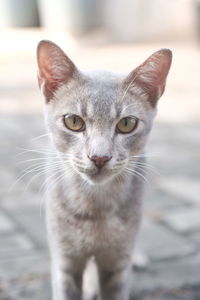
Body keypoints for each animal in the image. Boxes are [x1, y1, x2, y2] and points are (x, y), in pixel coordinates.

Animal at [36, 41, 172, 300]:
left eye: (127, 124)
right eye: (73, 121)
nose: (99, 157)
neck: (95, 208)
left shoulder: (117, 265)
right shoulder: (65, 262)